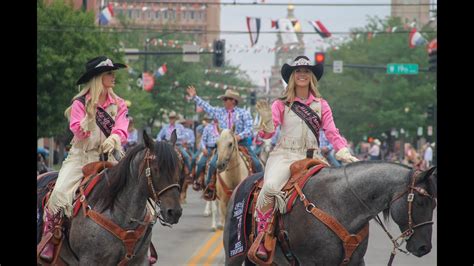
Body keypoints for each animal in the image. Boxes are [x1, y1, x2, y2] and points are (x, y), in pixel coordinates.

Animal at [224, 161, 436, 264]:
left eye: (434, 205)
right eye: (420, 202)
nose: (424, 248)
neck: (339, 205)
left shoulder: (355, 262)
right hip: (234, 254)